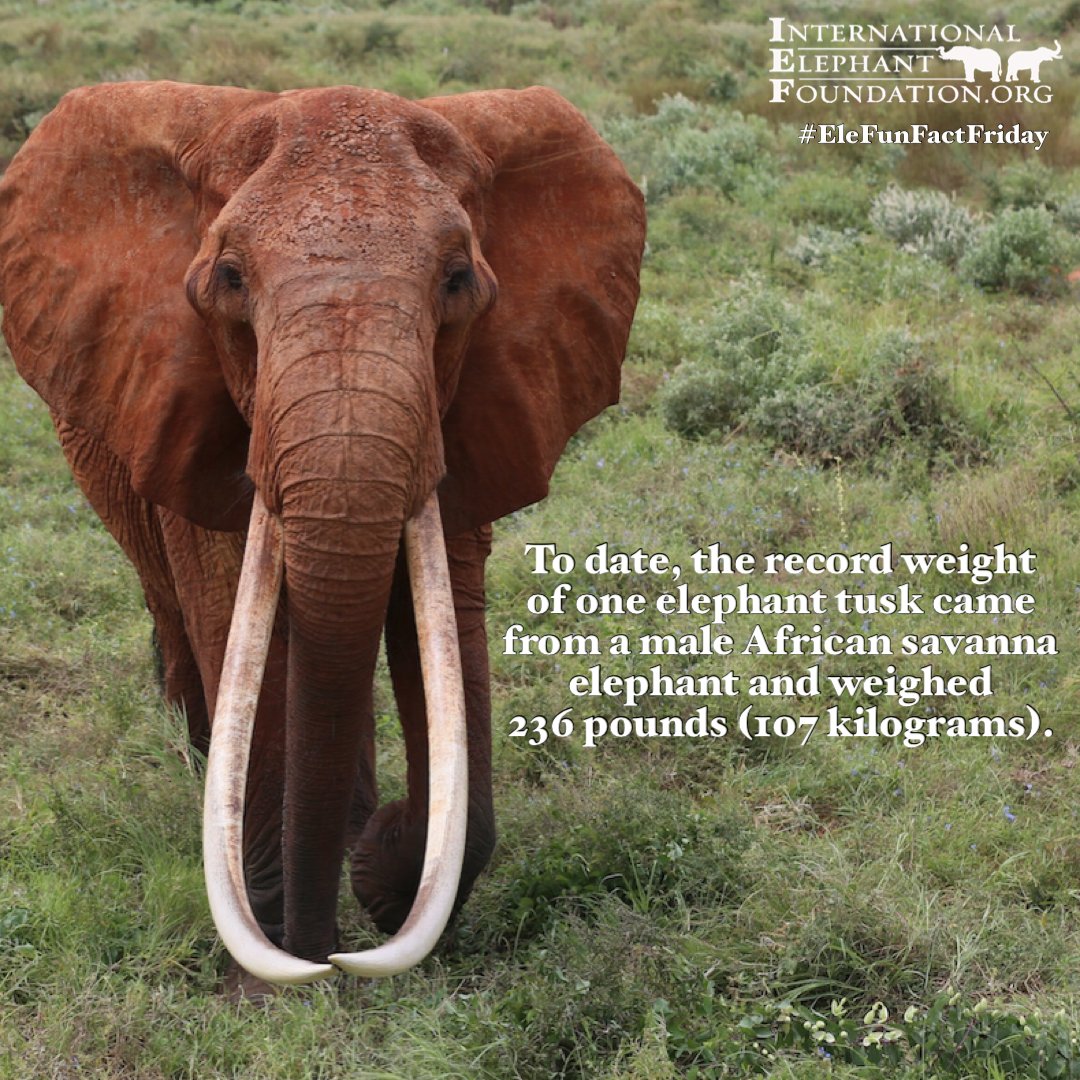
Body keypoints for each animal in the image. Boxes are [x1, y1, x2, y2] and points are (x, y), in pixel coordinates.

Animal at [0, 81, 645, 986]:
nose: (326, 958)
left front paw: (378, 869)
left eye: (457, 281)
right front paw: (285, 969)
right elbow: (237, 616)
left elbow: (438, 624)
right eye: (230, 279)